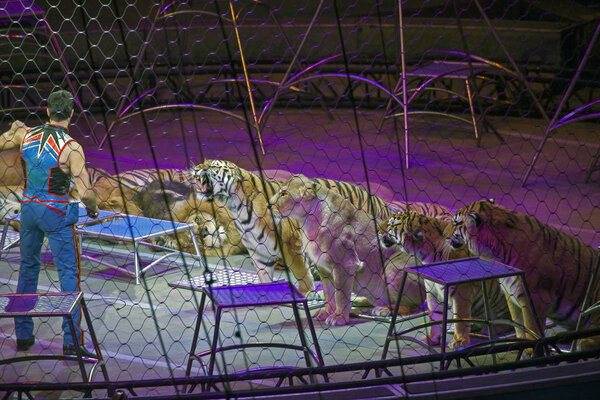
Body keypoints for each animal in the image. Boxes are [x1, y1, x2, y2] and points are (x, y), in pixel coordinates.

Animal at [380, 212, 510, 350]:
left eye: (391, 224)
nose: (378, 230)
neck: (424, 254)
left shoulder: (461, 291)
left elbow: (459, 317)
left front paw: (459, 341)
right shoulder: (433, 290)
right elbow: (435, 316)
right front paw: (432, 339)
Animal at [450, 198, 600, 350]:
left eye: (456, 223)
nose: (448, 236)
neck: (495, 250)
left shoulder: (534, 297)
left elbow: (531, 326)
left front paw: (531, 349)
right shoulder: (511, 294)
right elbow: (518, 324)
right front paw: (519, 345)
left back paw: (584, 342)